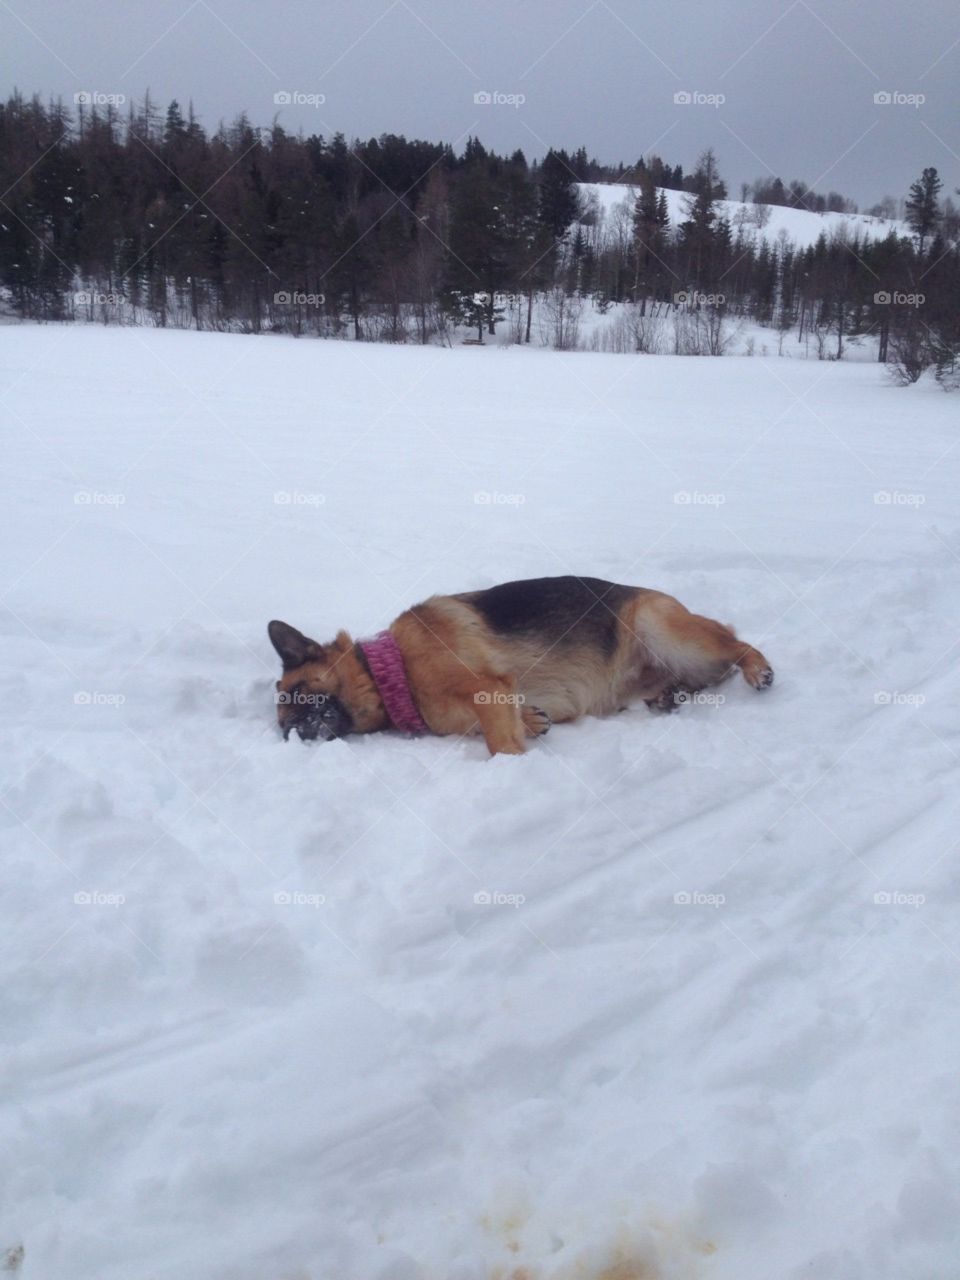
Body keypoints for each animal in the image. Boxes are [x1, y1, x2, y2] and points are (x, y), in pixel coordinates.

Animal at [268, 578, 773, 752]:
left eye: (297, 693)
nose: (288, 734)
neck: (393, 672)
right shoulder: (494, 701)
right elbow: (514, 721)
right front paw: (532, 720)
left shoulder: (488, 689)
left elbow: (501, 746)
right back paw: (671, 694)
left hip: (662, 628)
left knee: (737, 644)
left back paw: (757, 669)